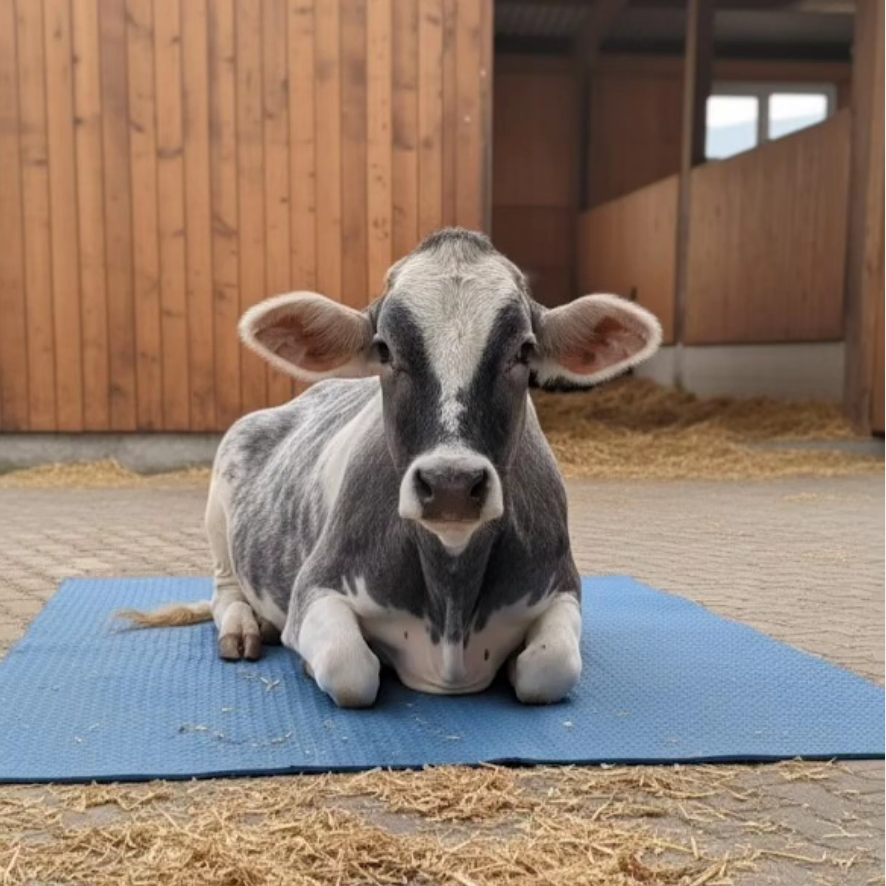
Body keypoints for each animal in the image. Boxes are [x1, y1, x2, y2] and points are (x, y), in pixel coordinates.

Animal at [124, 229, 662, 708]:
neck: (451, 599)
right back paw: (244, 627)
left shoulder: (563, 588)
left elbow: (549, 666)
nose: (451, 484)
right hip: (221, 493)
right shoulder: (316, 587)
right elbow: (350, 668)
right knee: (224, 589)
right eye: (384, 349)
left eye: (524, 350)